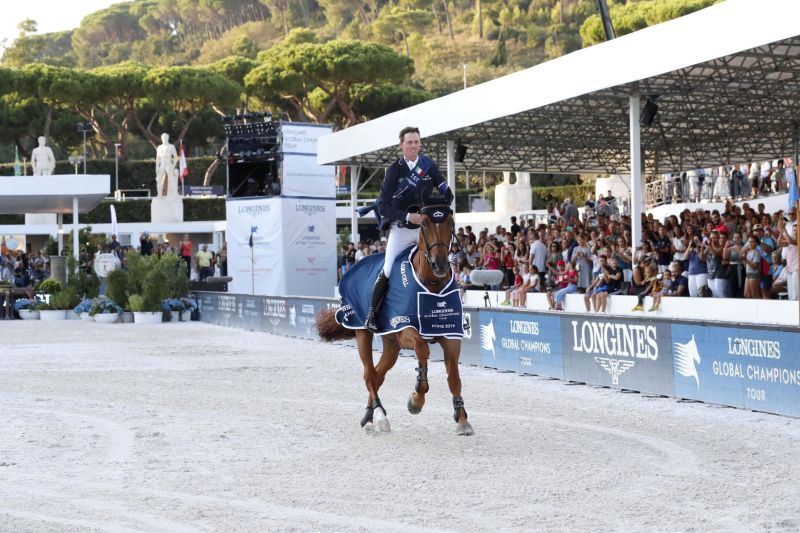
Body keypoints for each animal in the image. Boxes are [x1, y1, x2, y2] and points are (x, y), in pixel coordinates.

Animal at [314, 206, 476, 434]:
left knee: (378, 375)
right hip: (363, 333)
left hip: (391, 344)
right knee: (369, 375)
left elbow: (454, 378)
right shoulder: (404, 329)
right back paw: (380, 415)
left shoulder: (450, 333)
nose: (441, 265)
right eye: (423, 224)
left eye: (451, 223)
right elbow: (423, 350)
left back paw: (369, 416)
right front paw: (416, 399)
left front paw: (462, 419)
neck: (432, 283)